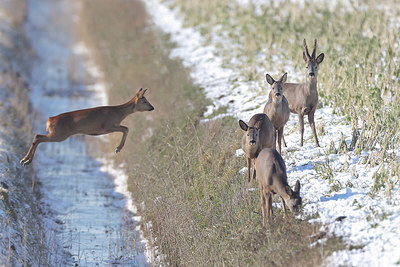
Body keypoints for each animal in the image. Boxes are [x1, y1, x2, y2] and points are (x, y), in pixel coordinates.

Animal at [19, 89, 155, 166]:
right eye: (144, 101)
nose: (152, 107)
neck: (118, 113)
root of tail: (50, 120)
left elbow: (126, 128)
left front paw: (117, 148)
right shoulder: (107, 126)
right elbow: (126, 128)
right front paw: (117, 148)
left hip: (57, 134)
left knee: (37, 136)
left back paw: (25, 160)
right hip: (59, 134)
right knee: (38, 136)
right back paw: (26, 160)